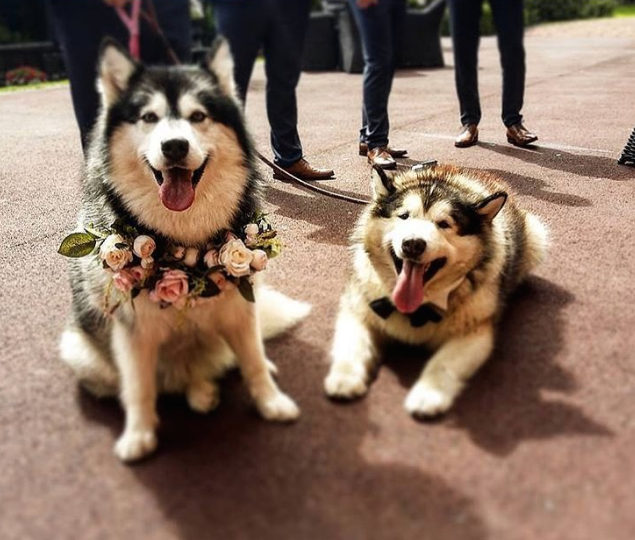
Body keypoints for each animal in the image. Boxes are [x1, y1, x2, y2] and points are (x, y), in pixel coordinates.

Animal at [60, 38, 310, 462]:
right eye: (148, 116)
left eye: (198, 116)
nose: (174, 146)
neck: (185, 247)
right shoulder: (133, 332)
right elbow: (139, 387)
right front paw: (138, 435)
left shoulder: (239, 311)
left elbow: (253, 362)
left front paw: (272, 402)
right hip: (79, 351)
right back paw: (198, 392)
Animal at [326, 165, 548, 418]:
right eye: (404, 216)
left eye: (443, 224)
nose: (413, 243)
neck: (417, 310)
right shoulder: (359, 309)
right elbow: (352, 345)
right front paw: (344, 378)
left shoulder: (475, 332)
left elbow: (442, 363)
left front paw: (428, 394)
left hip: (537, 236)